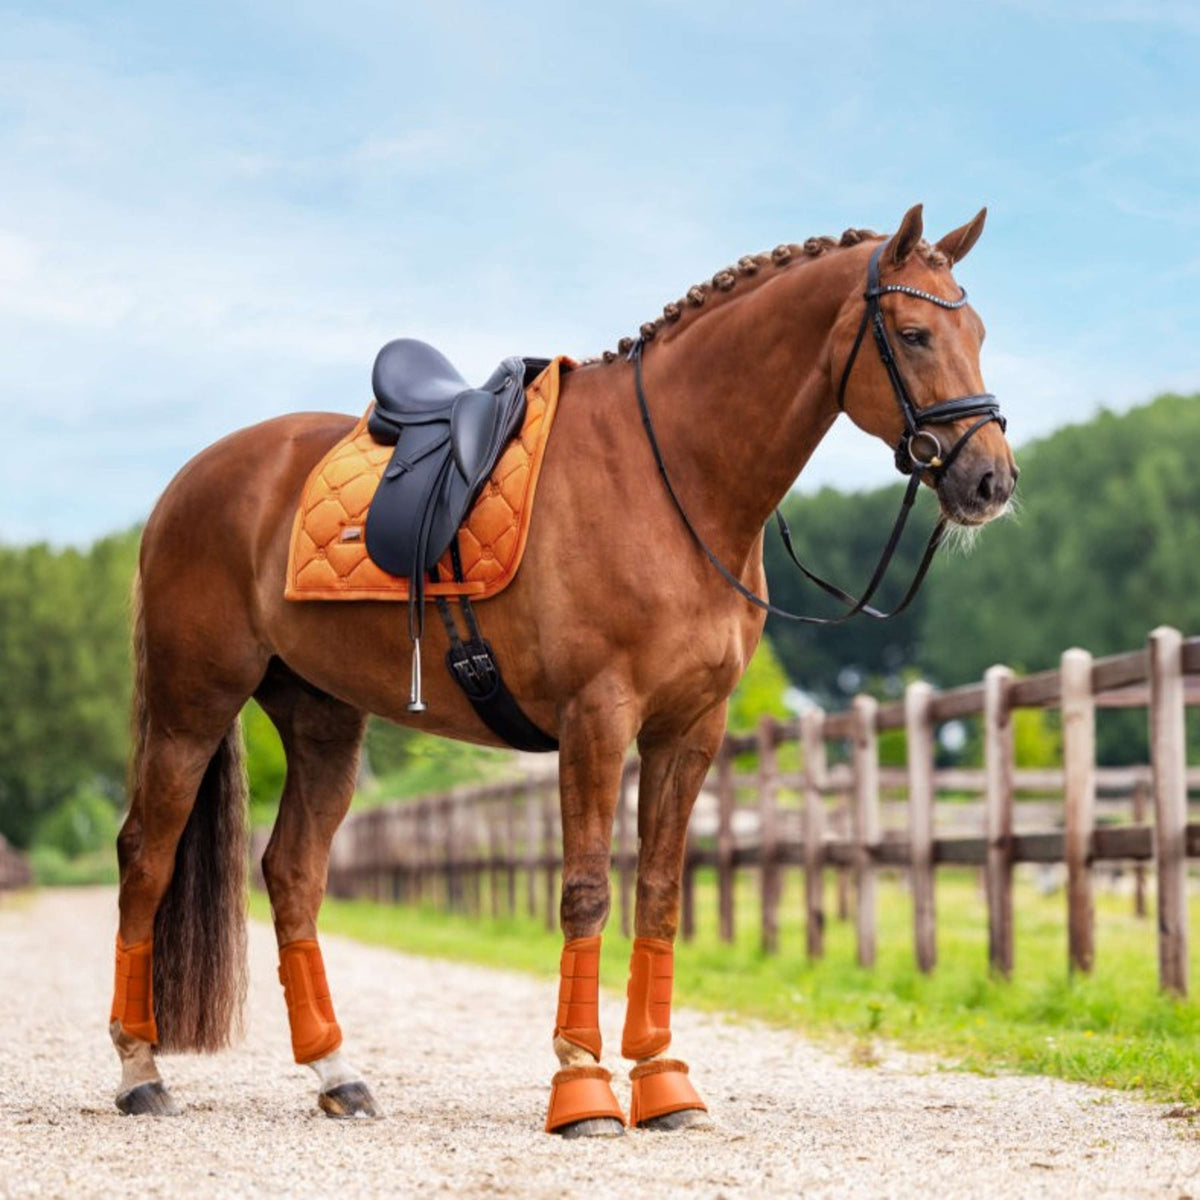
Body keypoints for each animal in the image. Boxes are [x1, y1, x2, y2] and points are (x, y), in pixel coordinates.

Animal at [109, 204, 1017, 1134]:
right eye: (912, 333)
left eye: (977, 332)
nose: (991, 480)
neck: (671, 477)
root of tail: (190, 483)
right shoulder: (598, 719)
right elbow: (586, 889)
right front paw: (582, 1085)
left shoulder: (689, 733)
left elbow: (660, 895)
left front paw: (663, 1081)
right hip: (193, 705)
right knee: (145, 856)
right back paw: (141, 1070)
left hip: (323, 720)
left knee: (292, 873)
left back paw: (338, 1074)